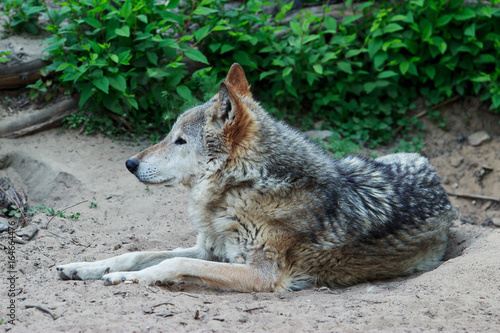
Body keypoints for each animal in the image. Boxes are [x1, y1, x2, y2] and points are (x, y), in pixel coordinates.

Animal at [56, 63, 456, 290]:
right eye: (169, 135)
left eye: (180, 141)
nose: (129, 163)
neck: (242, 188)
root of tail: (440, 183)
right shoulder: (211, 249)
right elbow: (138, 252)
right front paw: (83, 267)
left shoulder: (261, 274)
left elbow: (173, 263)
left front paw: (128, 279)